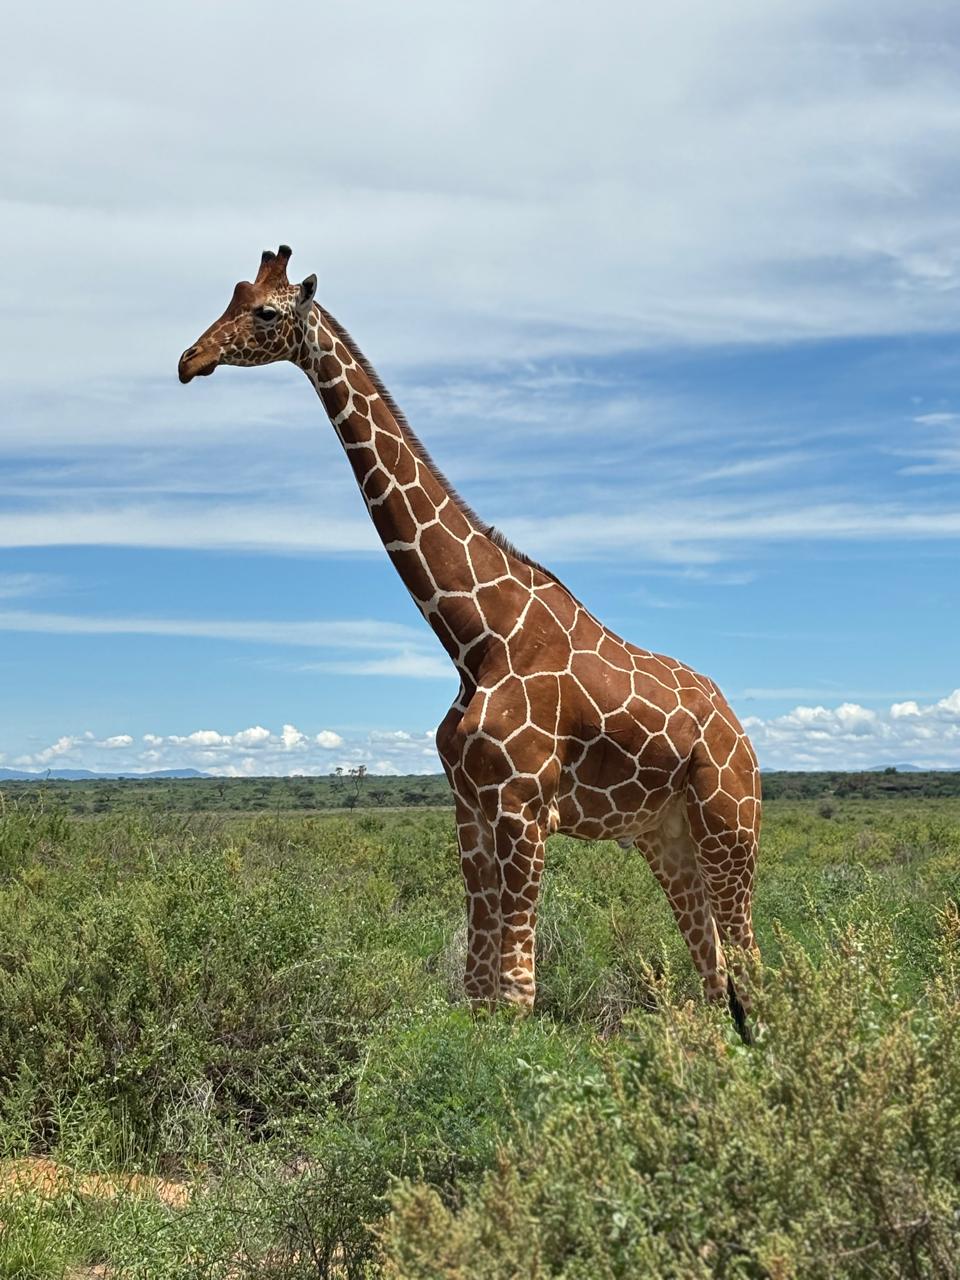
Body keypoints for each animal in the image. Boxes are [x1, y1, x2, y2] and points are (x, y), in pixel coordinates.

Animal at [178, 246, 761, 1042]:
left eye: (265, 313)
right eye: (231, 296)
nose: (189, 360)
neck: (473, 636)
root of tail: (741, 733)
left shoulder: (522, 805)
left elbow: (515, 993)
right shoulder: (471, 805)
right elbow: (479, 985)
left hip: (731, 826)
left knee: (751, 960)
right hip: (663, 835)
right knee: (714, 966)